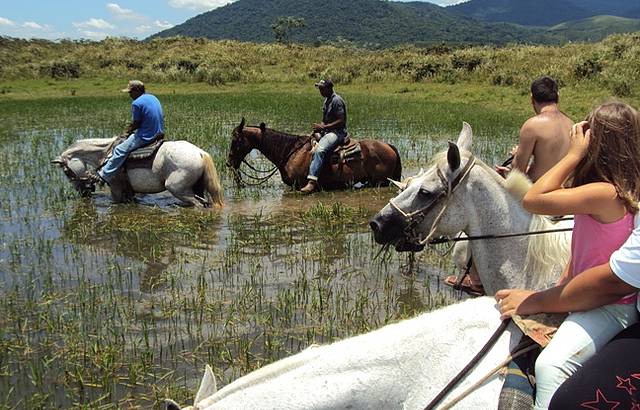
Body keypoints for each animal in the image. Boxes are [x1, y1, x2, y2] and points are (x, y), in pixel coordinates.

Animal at [52, 137, 224, 207]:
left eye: (66, 171)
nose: (84, 192)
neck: (105, 154)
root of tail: (200, 153)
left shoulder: (116, 188)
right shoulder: (129, 192)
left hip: (177, 189)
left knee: (198, 204)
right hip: (197, 188)